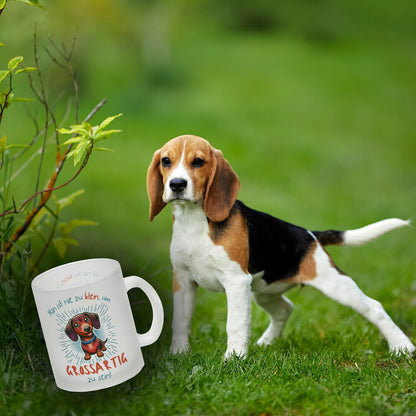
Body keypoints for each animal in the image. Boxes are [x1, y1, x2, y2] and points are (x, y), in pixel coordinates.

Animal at [148, 134, 414, 358]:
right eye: (166, 161)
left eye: (198, 162)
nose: (177, 184)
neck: (194, 221)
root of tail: (311, 235)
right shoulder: (183, 281)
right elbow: (181, 321)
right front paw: (178, 355)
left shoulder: (236, 282)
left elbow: (235, 324)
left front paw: (233, 359)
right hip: (264, 291)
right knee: (285, 308)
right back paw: (266, 342)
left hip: (335, 285)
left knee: (374, 308)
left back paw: (402, 347)